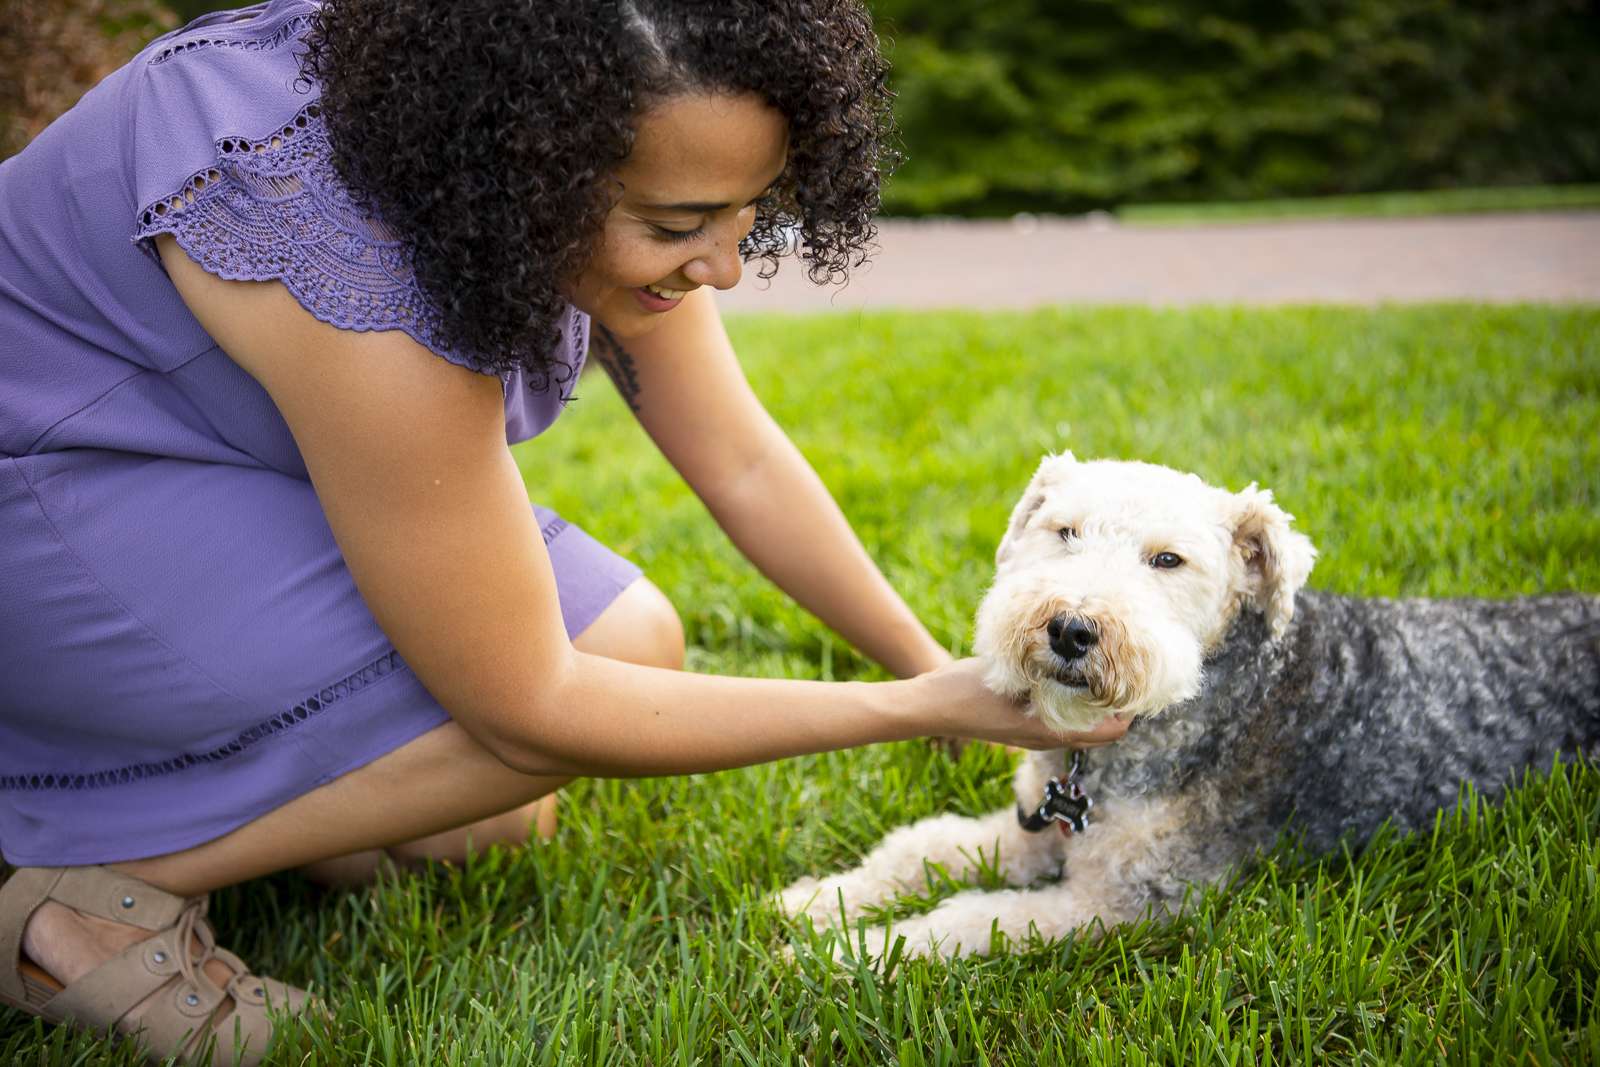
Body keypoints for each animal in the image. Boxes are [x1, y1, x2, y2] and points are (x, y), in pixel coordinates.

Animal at [777, 454, 1600, 966]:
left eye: (1167, 560)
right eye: (1064, 530)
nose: (1070, 629)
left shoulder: (1123, 904)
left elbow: (970, 918)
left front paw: (845, 954)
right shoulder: (1037, 829)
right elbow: (922, 848)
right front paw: (817, 900)